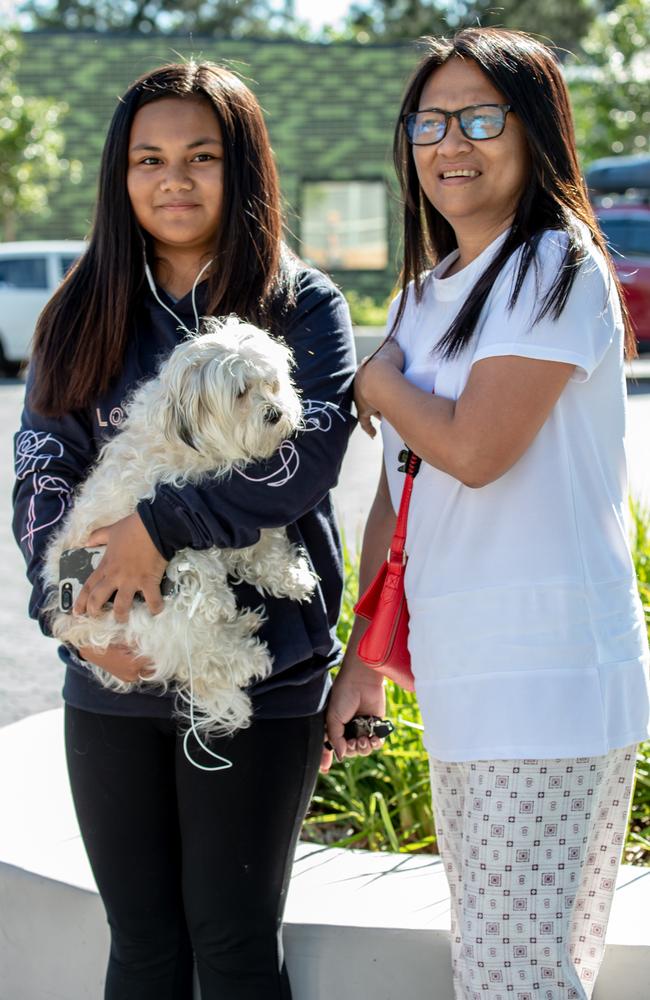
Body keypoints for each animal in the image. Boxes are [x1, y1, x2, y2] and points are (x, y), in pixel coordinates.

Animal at [42, 318, 316, 736]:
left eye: (271, 383)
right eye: (240, 392)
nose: (275, 413)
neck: (193, 448)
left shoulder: (242, 516)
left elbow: (266, 546)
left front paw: (292, 577)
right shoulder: (152, 527)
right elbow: (193, 561)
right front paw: (219, 599)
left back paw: (243, 627)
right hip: (150, 615)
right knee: (203, 657)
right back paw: (246, 654)